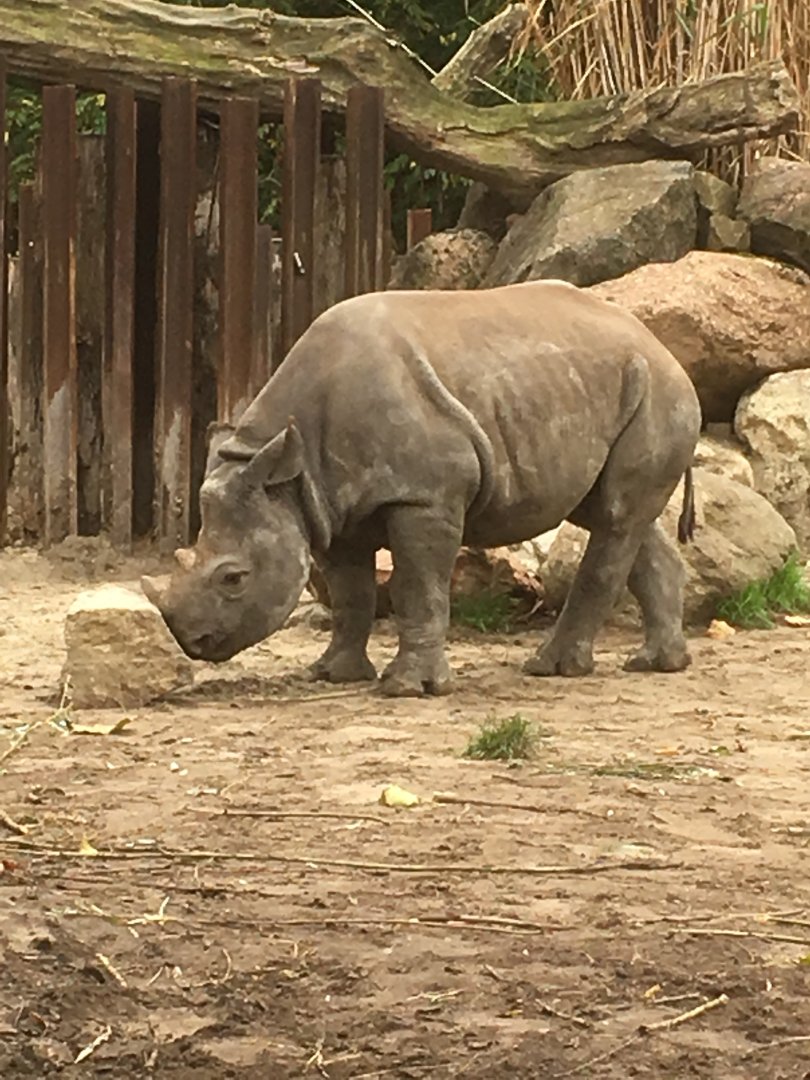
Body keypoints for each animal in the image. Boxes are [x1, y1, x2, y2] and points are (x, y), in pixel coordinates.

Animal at [142, 280, 701, 697]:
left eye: (234, 579)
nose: (192, 641)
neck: (288, 465)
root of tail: (661, 345)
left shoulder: (424, 496)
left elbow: (417, 585)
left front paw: (409, 689)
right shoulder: (325, 504)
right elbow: (350, 593)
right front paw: (331, 675)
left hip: (657, 389)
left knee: (615, 518)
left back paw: (553, 669)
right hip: (599, 385)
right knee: (613, 514)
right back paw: (658, 663)